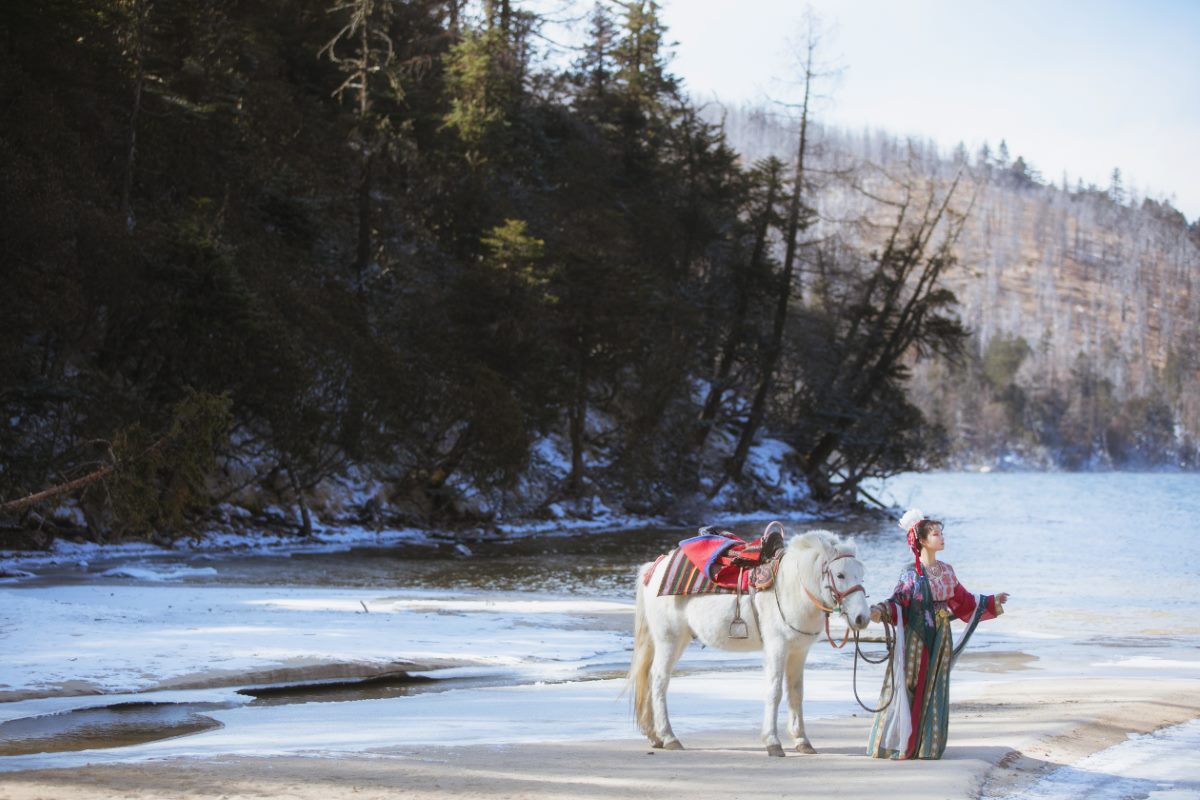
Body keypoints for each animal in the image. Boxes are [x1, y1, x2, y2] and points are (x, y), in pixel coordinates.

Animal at [628, 532, 873, 758]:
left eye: (861, 575)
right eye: (840, 574)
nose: (862, 618)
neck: (793, 588)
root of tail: (655, 568)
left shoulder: (798, 651)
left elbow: (796, 693)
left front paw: (802, 740)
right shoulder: (777, 647)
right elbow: (775, 691)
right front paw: (773, 742)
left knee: (650, 678)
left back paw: (655, 736)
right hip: (669, 639)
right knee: (659, 680)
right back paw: (669, 736)